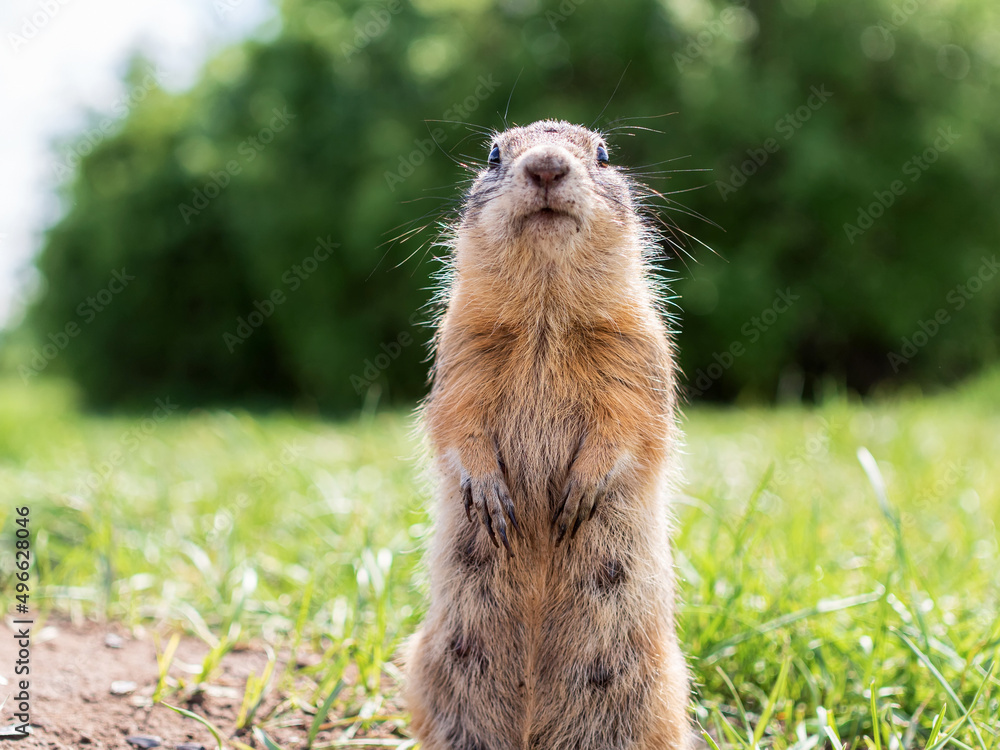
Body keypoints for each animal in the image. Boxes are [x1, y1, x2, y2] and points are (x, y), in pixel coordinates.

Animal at [402, 119, 692, 750]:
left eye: (604, 154)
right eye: (492, 154)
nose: (546, 166)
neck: (546, 313)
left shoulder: (638, 354)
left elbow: (629, 423)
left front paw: (581, 491)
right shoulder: (461, 352)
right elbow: (456, 421)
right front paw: (490, 493)